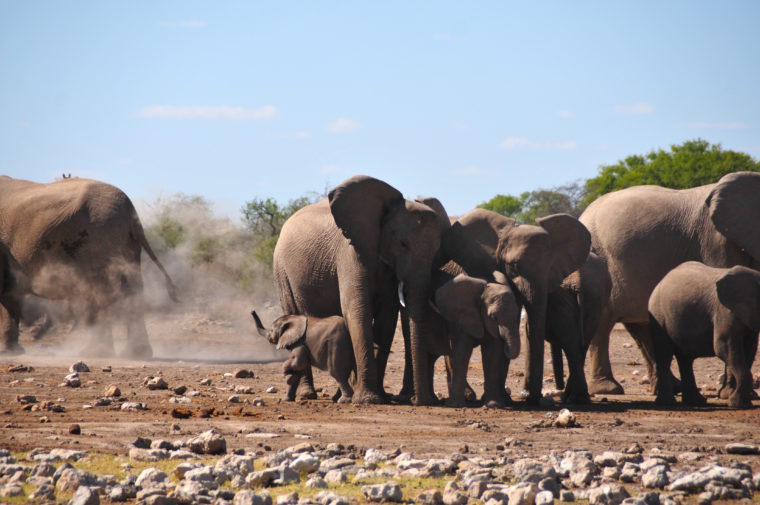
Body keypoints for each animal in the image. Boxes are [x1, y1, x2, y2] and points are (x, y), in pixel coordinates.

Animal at [0, 175, 177, 356]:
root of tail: (131, 213)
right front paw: (13, 352)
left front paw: (8, 352)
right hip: (124, 243)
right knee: (131, 289)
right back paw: (134, 354)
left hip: (96, 238)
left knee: (101, 291)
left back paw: (94, 352)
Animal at [274, 175, 442, 404]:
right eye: (402, 244)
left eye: (437, 250)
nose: (420, 401)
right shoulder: (349, 251)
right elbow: (357, 309)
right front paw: (369, 400)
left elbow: (387, 317)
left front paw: (379, 397)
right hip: (282, 272)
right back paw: (308, 395)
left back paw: (340, 395)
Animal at [648, 262, 760, 408]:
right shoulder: (725, 311)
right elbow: (723, 347)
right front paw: (737, 404)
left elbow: (748, 350)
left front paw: (743, 403)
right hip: (658, 316)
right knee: (665, 355)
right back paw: (667, 403)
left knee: (685, 359)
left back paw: (695, 401)